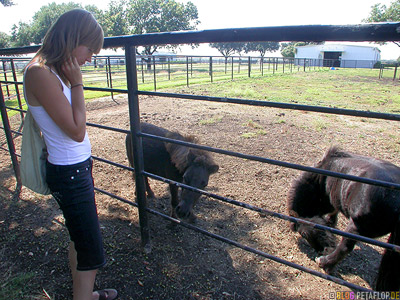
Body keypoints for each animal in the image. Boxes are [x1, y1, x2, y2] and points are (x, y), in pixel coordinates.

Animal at [288, 146, 400, 292]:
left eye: (304, 234)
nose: (323, 249)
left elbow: (333, 210)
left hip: (355, 228)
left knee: (344, 248)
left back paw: (324, 262)